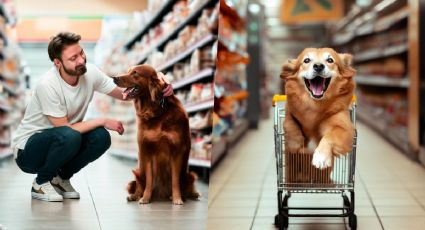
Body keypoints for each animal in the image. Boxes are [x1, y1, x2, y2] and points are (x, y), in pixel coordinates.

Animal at [112, 64, 199, 205]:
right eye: (128, 71)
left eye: (135, 73)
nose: (114, 78)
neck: (156, 111)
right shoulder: (146, 149)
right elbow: (149, 179)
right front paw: (145, 197)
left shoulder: (177, 150)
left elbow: (175, 180)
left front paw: (177, 198)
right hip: (138, 171)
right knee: (138, 184)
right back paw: (134, 196)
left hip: (189, 175)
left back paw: (189, 194)